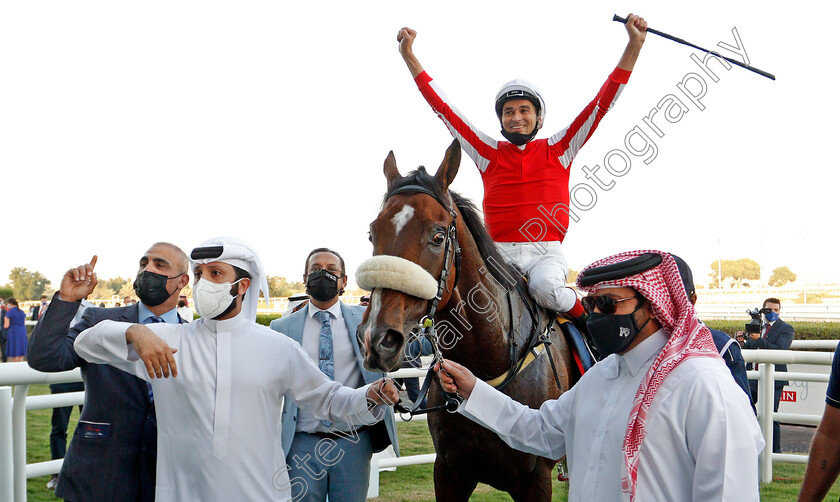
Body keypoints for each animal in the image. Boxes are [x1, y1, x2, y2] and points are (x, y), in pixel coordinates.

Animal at [356, 139, 584, 500]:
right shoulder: (450, 472)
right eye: (372, 233)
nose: (377, 339)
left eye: (438, 236)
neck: (489, 365)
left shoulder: (535, 479)